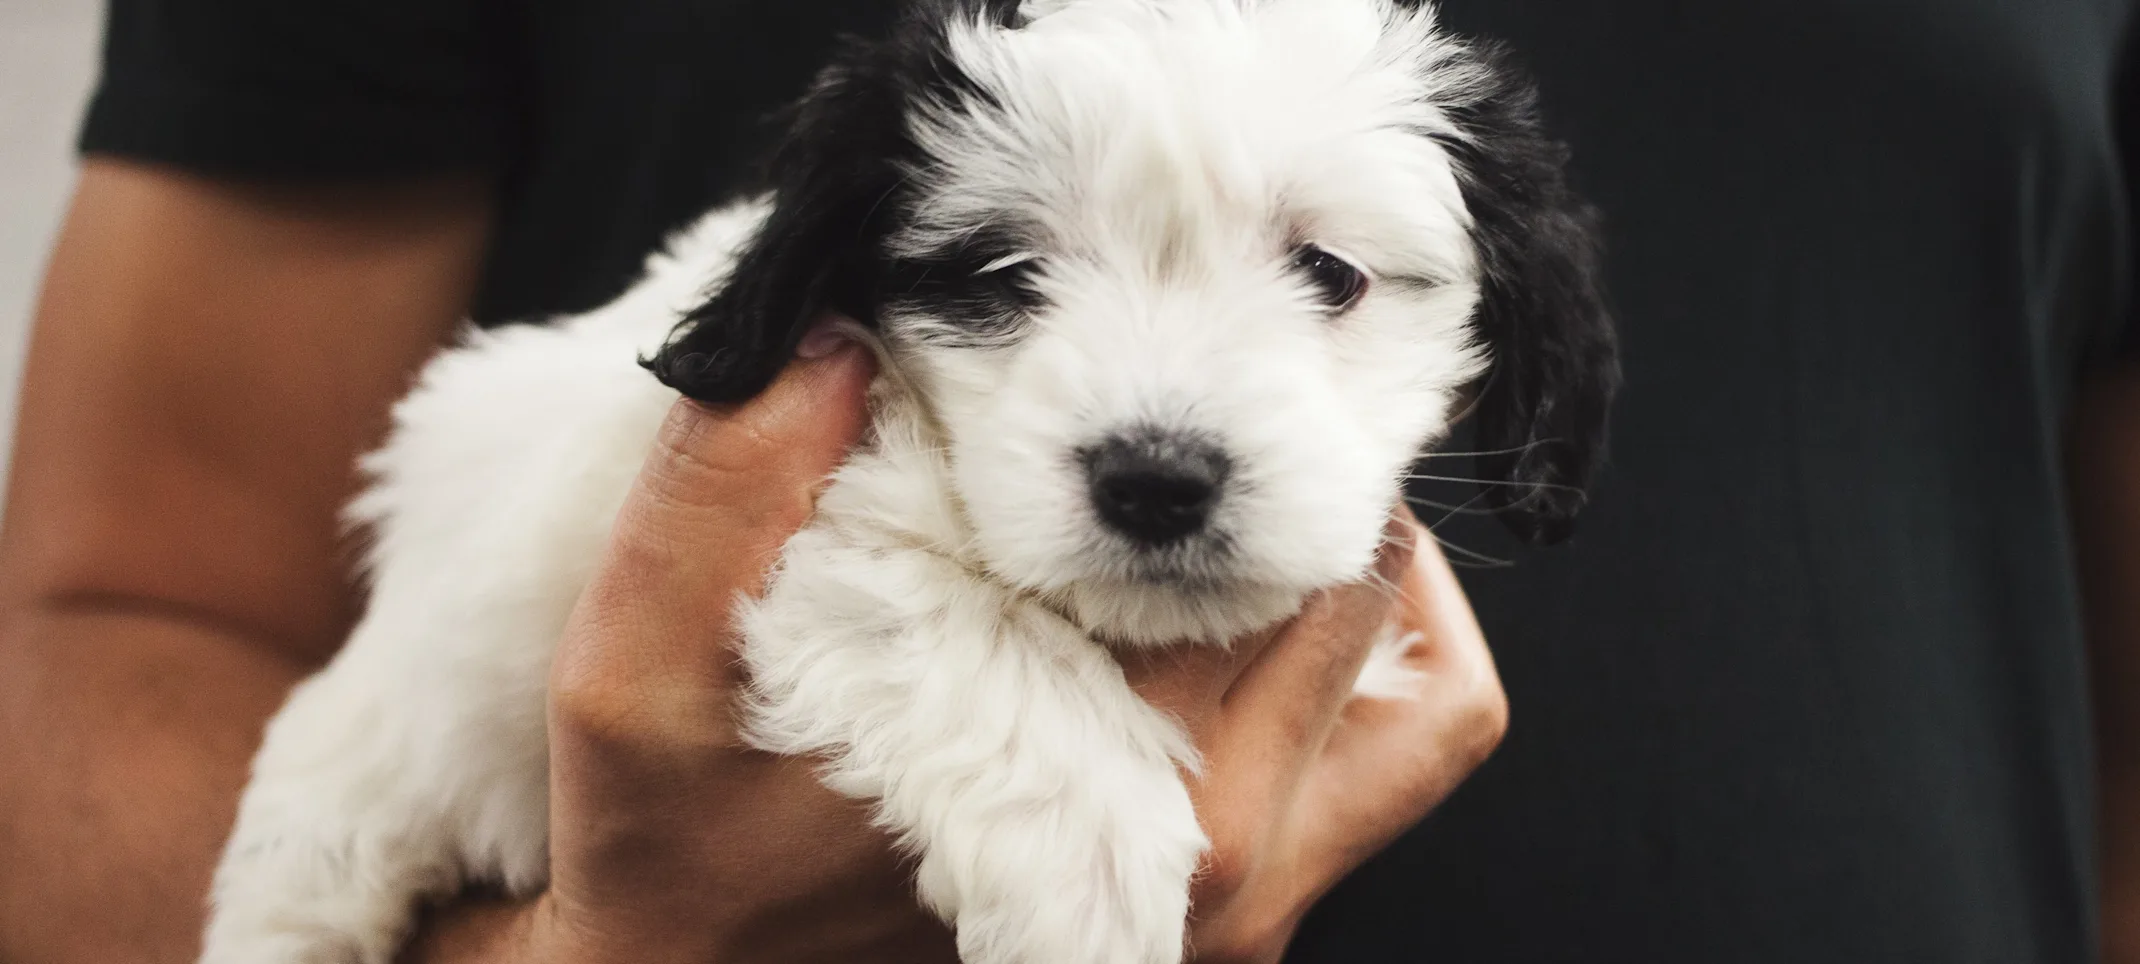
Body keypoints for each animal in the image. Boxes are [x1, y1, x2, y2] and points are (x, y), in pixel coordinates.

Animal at [201, 1, 1609, 964]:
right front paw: (1087, 877)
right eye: (999, 275)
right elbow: (912, 587)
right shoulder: (769, 512)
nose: (1157, 480)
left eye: (1332, 272)